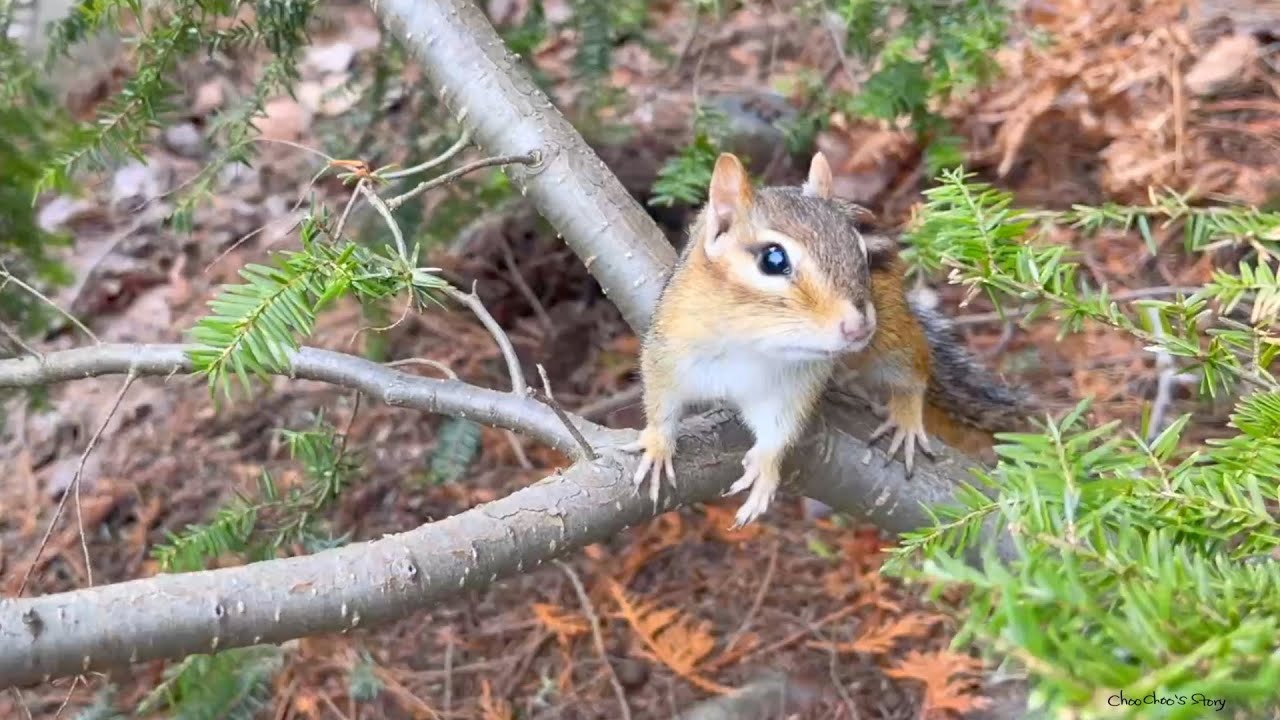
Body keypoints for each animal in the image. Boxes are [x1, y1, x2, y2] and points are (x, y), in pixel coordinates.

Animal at [624, 151, 1035, 527]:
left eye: (860, 250)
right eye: (773, 259)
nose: (857, 327)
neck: (752, 345)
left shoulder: (791, 387)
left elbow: (779, 430)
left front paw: (766, 469)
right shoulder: (669, 350)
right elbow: (661, 402)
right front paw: (657, 445)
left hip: (890, 336)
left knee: (913, 368)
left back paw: (904, 418)